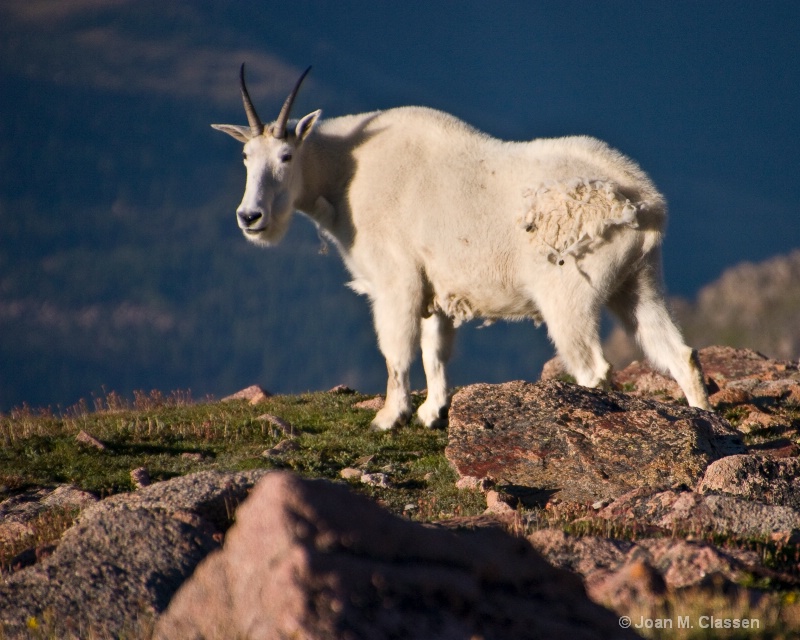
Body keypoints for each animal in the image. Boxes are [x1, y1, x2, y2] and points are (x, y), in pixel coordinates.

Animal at [212, 65, 712, 430]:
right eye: (245, 157)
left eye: (286, 156)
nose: (250, 218)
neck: (346, 172)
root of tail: (645, 203)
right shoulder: (438, 288)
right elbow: (435, 351)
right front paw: (432, 413)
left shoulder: (396, 281)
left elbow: (397, 350)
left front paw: (388, 418)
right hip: (638, 281)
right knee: (678, 353)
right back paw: (708, 423)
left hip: (569, 293)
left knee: (593, 369)